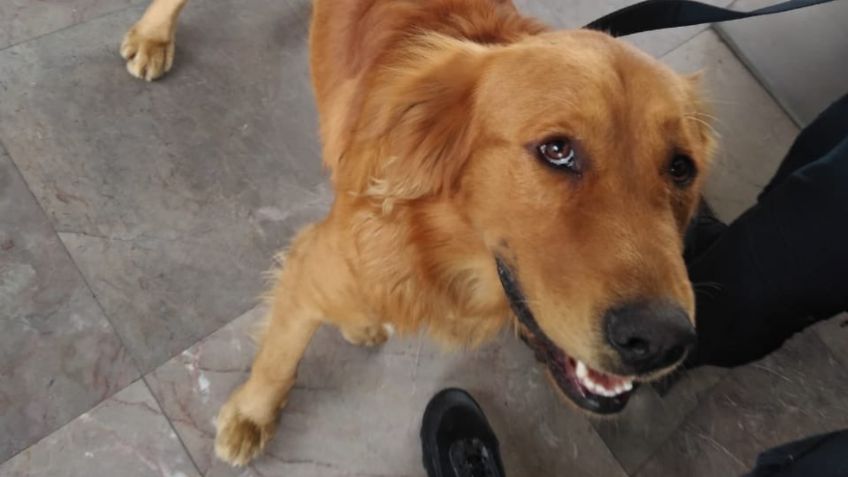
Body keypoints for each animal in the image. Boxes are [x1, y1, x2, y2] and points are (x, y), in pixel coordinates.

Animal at [121, 0, 716, 464]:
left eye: (681, 168)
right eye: (556, 149)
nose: (661, 340)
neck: (440, 248)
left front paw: (360, 325)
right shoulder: (314, 262)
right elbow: (279, 359)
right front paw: (252, 416)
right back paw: (154, 35)